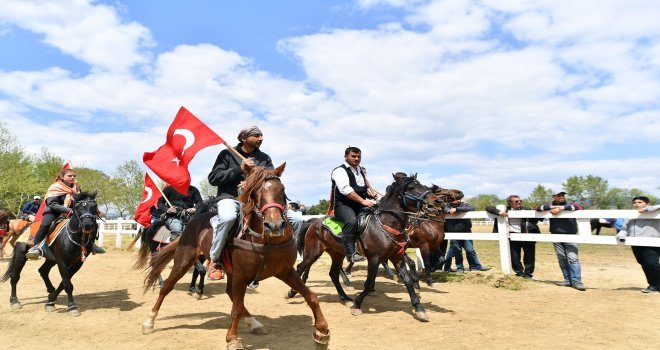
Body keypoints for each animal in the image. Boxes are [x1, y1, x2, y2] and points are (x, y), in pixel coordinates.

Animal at [142, 164, 332, 350]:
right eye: (255, 192)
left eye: (282, 189)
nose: (275, 225)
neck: (266, 241)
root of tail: (191, 223)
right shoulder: (241, 275)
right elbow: (236, 309)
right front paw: (232, 339)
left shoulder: (285, 271)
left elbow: (311, 296)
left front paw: (322, 331)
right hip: (183, 261)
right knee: (167, 286)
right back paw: (149, 321)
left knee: (230, 293)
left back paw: (254, 323)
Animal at [288, 174, 444, 322]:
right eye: (411, 187)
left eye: (424, 186)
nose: (437, 202)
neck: (385, 223)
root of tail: (314, 222)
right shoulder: (374, 259)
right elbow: (369, 283)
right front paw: (357, 304)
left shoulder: (397, 257)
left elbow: (408, 281)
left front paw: (419, 308)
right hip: (313, 252)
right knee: (301, 267)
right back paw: (292, 292)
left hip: (337, 254)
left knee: (333, 274)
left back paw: (345, 297)